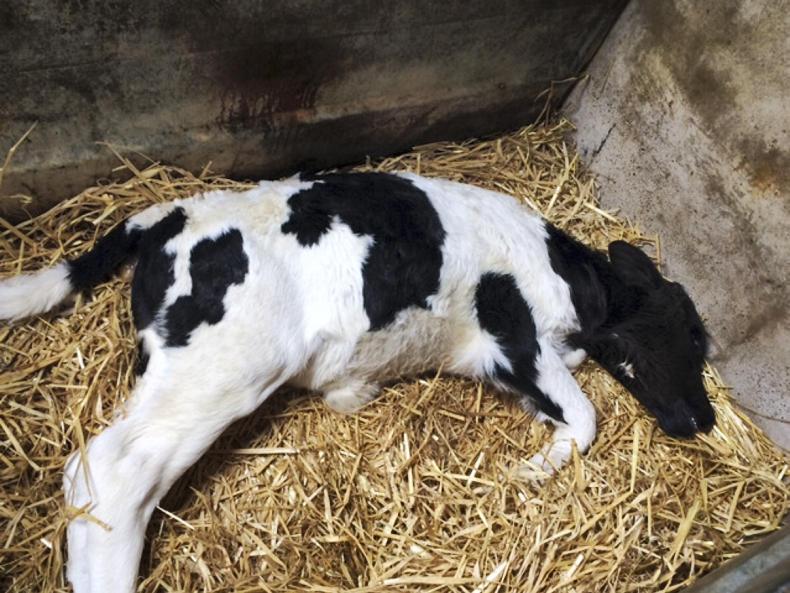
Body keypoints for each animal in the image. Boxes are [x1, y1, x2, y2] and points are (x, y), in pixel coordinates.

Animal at [0, 171, 714, 593]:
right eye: (682, 333)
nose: (701, 419)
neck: (568, 273)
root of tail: (168, 216)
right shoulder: (517, 335)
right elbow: (586, 416)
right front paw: (532, 469)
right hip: (223, 366)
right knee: (113, 469)